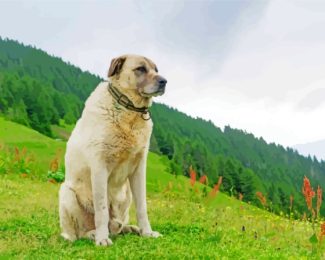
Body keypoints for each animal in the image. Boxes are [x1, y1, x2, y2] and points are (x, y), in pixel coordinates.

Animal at [57, 54, 167, 246]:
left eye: (156, 70)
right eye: (140, 69)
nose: (164, 81)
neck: (128, 110)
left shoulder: (139, 169)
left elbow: (142, 206)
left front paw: (147, 232)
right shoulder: (100, 167)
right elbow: (101, 210)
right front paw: (102, 239)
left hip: (126, 194)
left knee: (118, 226)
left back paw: (130, 229)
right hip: (66, 193)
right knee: (77, 234)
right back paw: (92, 234)